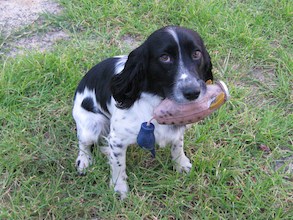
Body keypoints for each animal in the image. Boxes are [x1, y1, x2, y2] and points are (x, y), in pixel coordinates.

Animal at [71, 25, 211, 198]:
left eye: (196, 53)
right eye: (164, 57)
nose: (192, 92)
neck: (158, 101)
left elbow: (178, 144)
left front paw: (181, 164)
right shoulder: (116, 140)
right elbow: (118, 166)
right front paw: (119, 188)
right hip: (90, 126)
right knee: (83, 143)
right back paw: (83, 161)